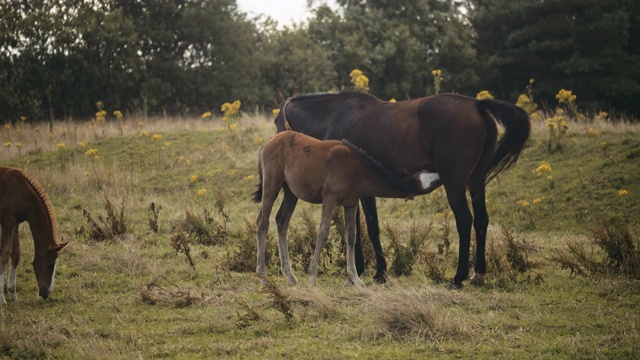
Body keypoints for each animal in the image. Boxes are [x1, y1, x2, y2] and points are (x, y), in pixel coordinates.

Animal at [0, 167, 68, 302]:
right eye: (49, 265)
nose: (46, 293)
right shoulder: (7, 221)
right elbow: (5, 254)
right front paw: (2, 299)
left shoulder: (15, 223)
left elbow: (16, 253)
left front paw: (13, 294)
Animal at [250, 131, 436, 286]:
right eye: (424, 182)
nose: (439, 173)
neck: (356, 167)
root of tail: (267, 145)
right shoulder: (330, 198)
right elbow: (323, 233)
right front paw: (312, 276)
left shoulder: (351, 203)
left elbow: (351, 235)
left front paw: (355, 278)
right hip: (272, 185)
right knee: (262, 222)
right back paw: (263, 276)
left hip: (290, 192)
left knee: (281, 222)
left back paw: (290, 276)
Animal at [272, 90, 528, 290]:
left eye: (276, 121)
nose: (274, 144)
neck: (335, 115)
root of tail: (476, 104)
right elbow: (359, 229)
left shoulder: (360, 192)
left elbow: (367, 228)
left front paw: (372, 272)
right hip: (476, 181)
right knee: (482, 220)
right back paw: (478, 274)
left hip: (454, 183)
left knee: (465, 221)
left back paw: (458, 278)